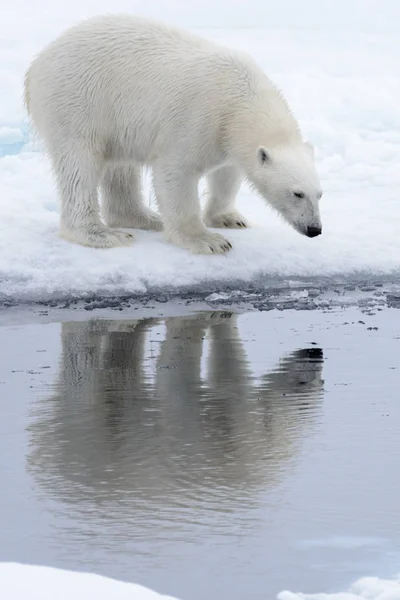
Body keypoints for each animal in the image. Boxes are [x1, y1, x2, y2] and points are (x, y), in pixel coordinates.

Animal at [25, 14, 324, 253]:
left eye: (320, 194)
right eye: (297, 193)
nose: (315, 229)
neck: (240, 100)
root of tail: (39, 61)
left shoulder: (226, 136)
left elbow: (227, 174)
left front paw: (230, 219)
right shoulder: (197, 119)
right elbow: (176, 173)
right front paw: (209, 241)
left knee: (120, 166)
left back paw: (145, 218)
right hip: (79, 103)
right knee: (80, 166)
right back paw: (103, 234)